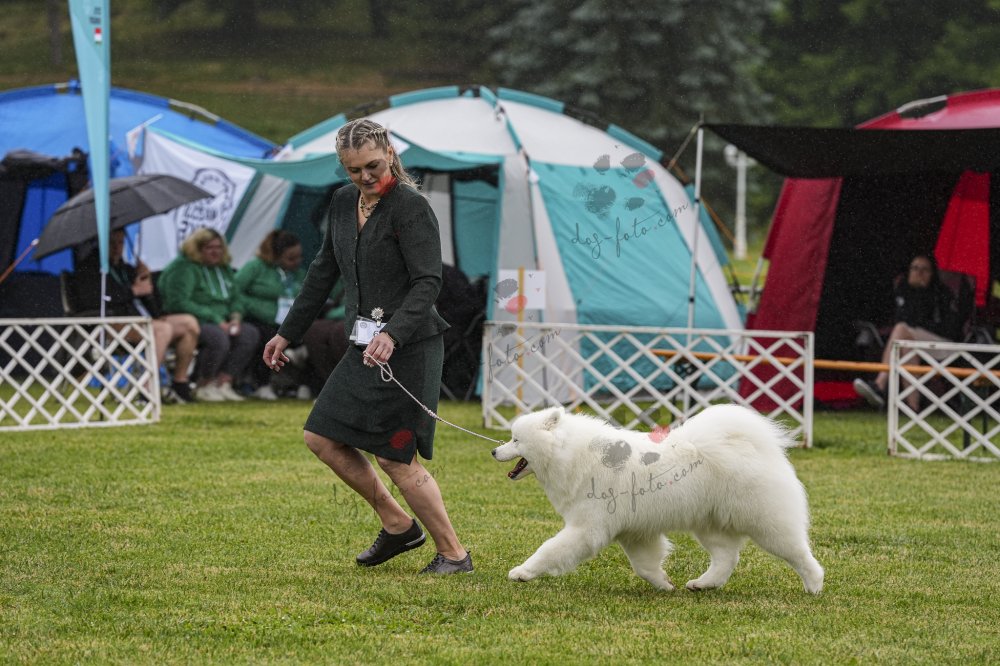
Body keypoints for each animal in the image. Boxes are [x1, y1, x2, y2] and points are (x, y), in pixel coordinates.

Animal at [492, 404, 824, 594]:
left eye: (516, 439)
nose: (494, 450)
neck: (574, 454)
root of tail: (749, 443)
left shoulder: (587, 528)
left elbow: (549, 550)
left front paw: (522, 572)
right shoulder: (635, 532)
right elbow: (645, 565)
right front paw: (664, 584)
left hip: (765, 523)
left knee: (798, 552)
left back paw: (814, 585)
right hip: (710, 525)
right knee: (726, 558)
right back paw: (703, 584)